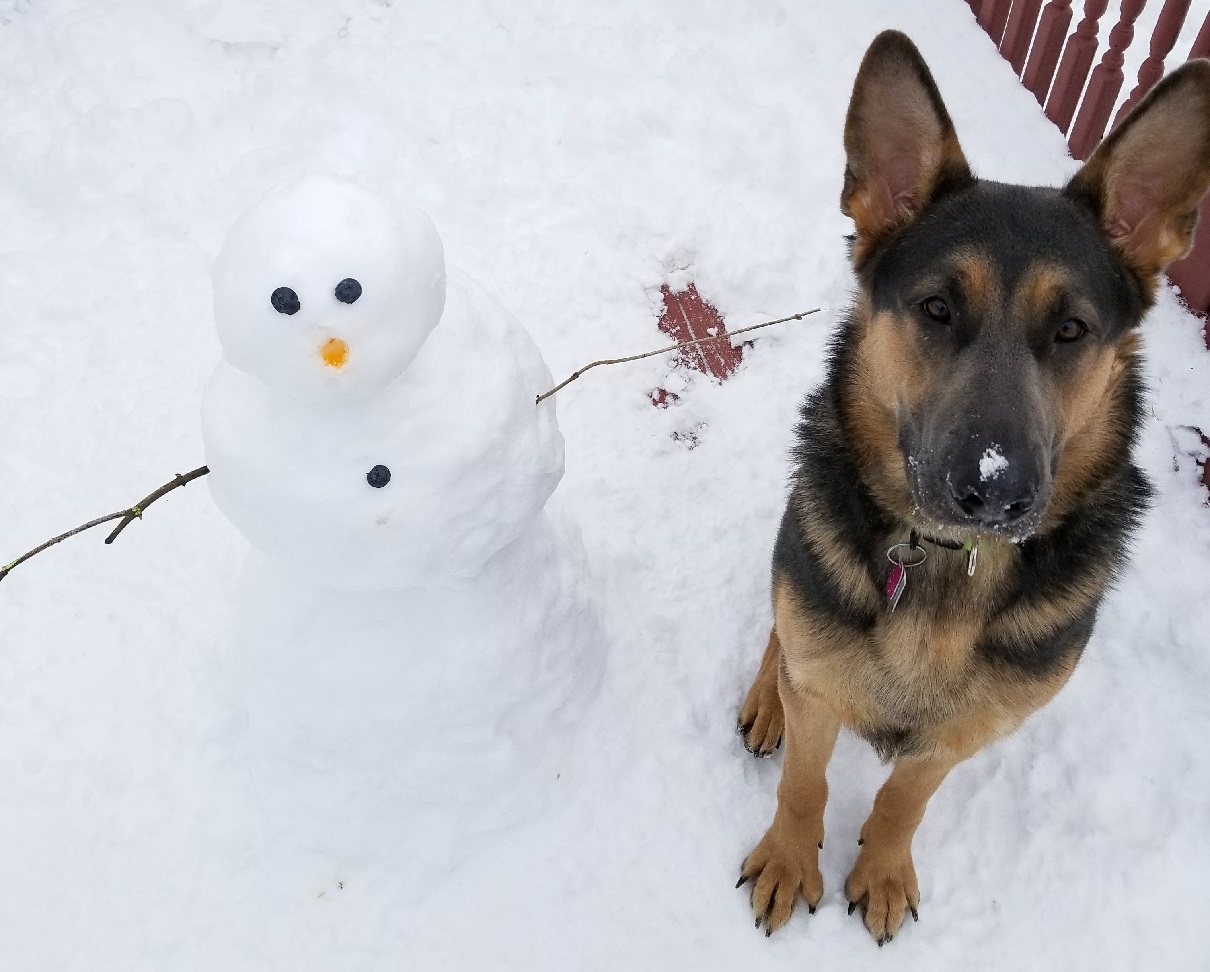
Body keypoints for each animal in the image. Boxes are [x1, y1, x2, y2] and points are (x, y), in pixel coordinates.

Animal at [730, 30, 1210, 944]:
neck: (951, 562)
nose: (993, 492)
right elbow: (806, 780)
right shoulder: (821, 680)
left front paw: (882, 869)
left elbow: (905, 798)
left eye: (1072, 330)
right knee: (781, 637)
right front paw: (788, 858)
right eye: (936, 308)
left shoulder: (972, 728)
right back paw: (767, 698)